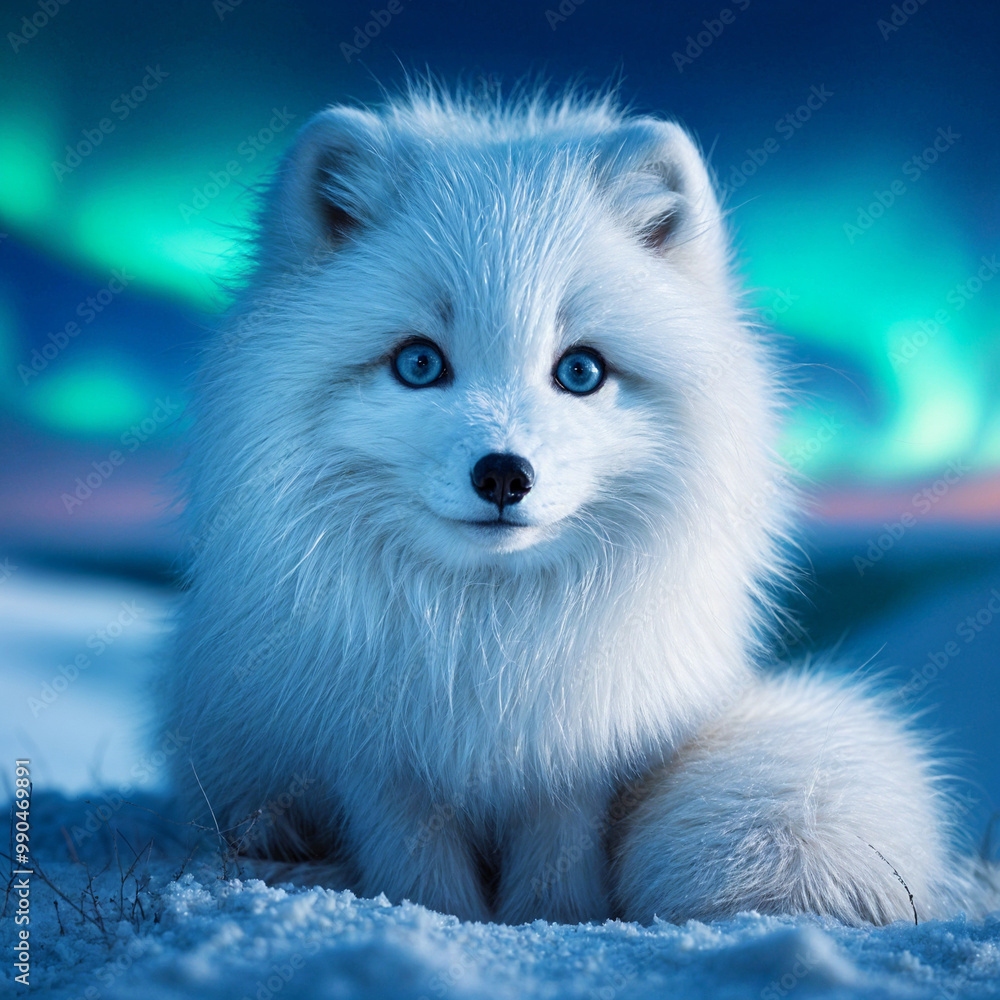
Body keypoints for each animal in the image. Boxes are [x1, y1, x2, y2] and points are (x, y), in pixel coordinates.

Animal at [163, 84, 995, 925]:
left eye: (581, 371)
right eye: (419, 363)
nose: (504, 475)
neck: (483, 636)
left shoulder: (577, 757)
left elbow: (560, 854)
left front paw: (554, 915)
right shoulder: (376, 758)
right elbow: (416, 862)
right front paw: (436, 913)